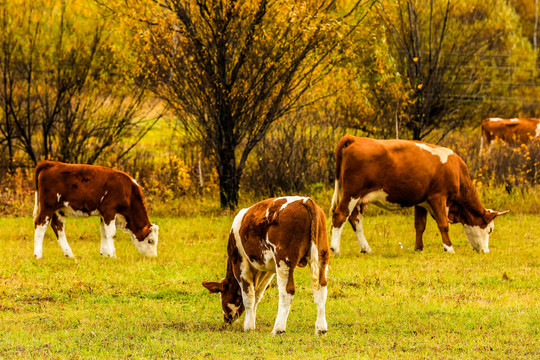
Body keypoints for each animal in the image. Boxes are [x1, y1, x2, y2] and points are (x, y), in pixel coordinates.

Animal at [202, 197, 330, 334]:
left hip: (284, 260)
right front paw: (251, 322)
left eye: (221, 294)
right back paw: (321, 329)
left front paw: (248, 327)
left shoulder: (240, 263)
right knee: (321, 287)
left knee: (287, 291)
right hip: (321, 256)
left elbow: (248, 295)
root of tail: (305, 200)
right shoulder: (267, 270)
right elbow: (257, 295)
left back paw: (278, 329)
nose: (226, 319)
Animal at [326, 135, 508, 256]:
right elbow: (443, 224)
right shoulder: (438, 197)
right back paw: (335, 249)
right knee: (340, 215)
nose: (486, 251)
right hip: (352, 193)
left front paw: (418, 248)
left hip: (357, 198)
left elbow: (420, 226)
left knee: (355, 220)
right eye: (490, 229)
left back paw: (366, 248)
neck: (455, 169)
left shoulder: (422, 202)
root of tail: (354, 138)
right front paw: (449, 248)